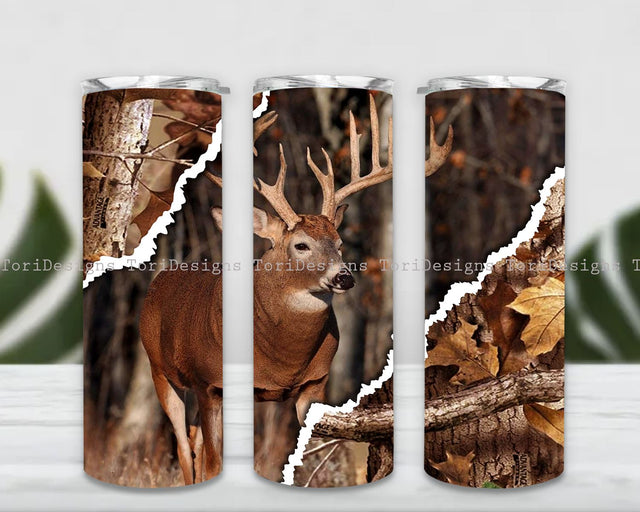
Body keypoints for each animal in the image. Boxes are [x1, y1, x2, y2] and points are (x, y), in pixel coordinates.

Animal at [139, 93, 453, 485]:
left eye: (339, 243)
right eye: (301, 245)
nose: (344, 278)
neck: (280, 358)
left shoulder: (315, 383)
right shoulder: (210, 383)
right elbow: (214, 462)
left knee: (194, 440)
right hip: (159, 369)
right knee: (184, 446)